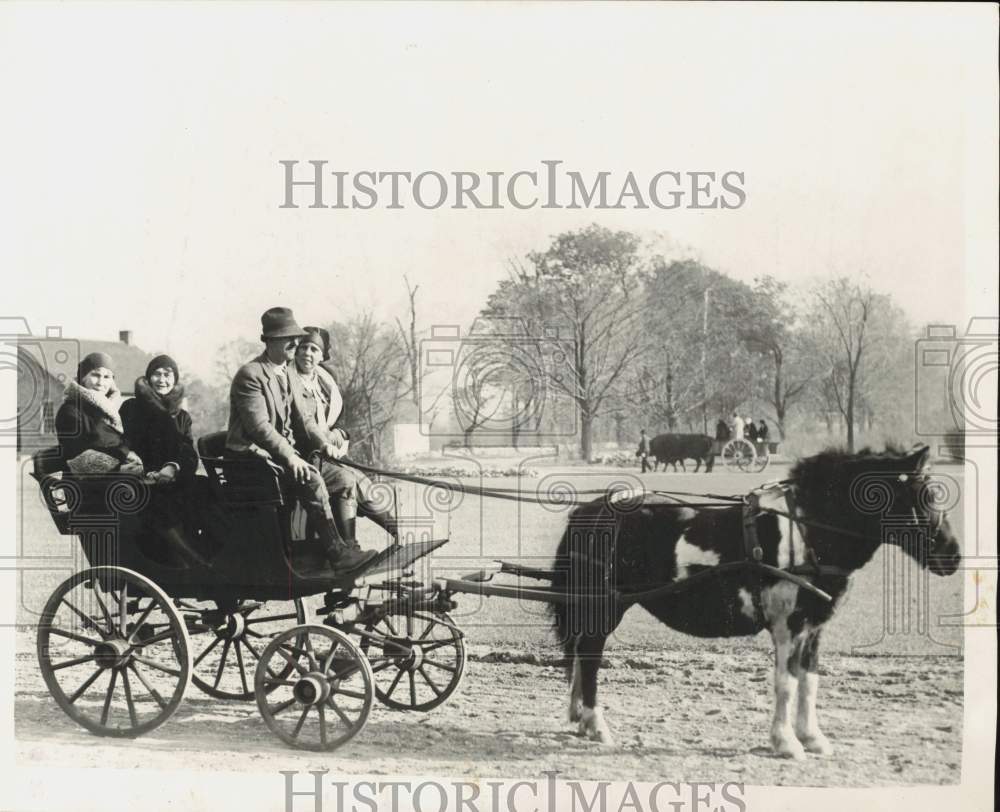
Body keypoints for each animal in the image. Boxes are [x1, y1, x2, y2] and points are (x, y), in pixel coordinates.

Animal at [552, 444, 964, 756]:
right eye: (924, 496)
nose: (954, 556)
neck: (806, 531)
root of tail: (591, 509)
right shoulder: (787, 626)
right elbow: (786, 682)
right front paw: (786, 742)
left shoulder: (814, 629)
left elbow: (808, 681)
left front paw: (812, 737)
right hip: (606, 607)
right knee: (590, 658)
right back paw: (596, 723)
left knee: (580, 656)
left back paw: (580, 718)